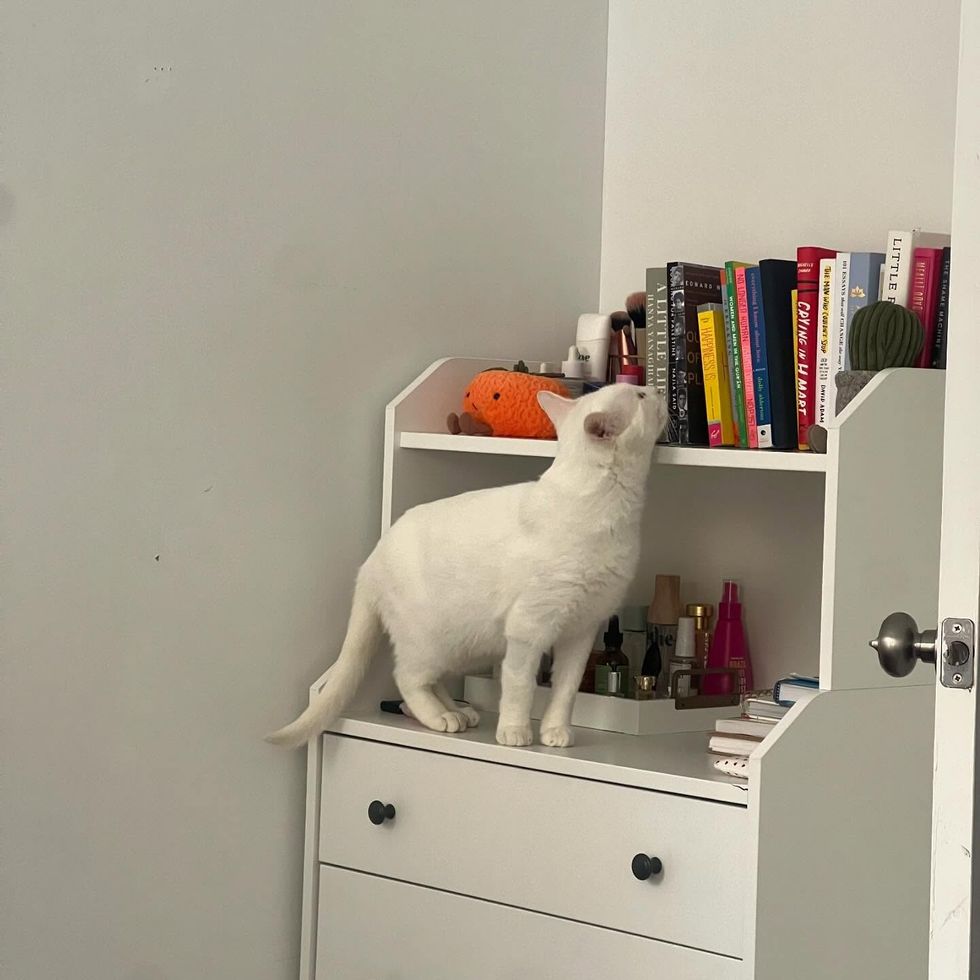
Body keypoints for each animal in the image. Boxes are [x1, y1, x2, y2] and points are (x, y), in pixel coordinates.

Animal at [268, 382, 668, 752]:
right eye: (640, 396)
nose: (657, 390)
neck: (611, 511)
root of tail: (371, 559)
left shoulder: (581, 631)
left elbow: (565, 690)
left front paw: (555, 732)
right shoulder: (528, 629)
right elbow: (519, 686)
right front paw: (515, 733)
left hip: (456, 646)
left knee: (429, 682)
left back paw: (459, 712)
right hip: (431, 642)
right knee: (408, 678)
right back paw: (441, 717)